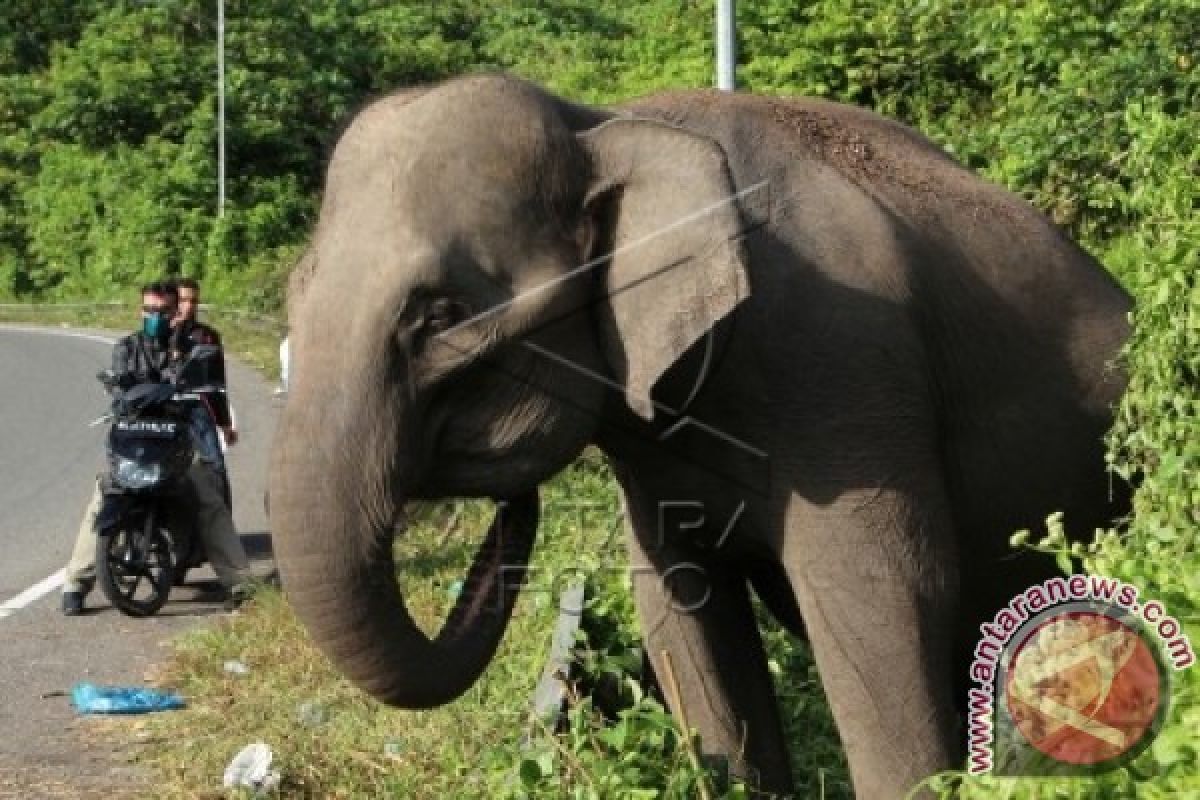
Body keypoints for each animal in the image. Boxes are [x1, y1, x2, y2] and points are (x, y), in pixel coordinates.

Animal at [267, 74, 1128, 800]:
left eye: (440, 315)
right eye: (294, 295)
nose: (512, 506)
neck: (606, 124)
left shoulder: (847, 364)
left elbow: (880, 596)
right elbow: (680, 609)